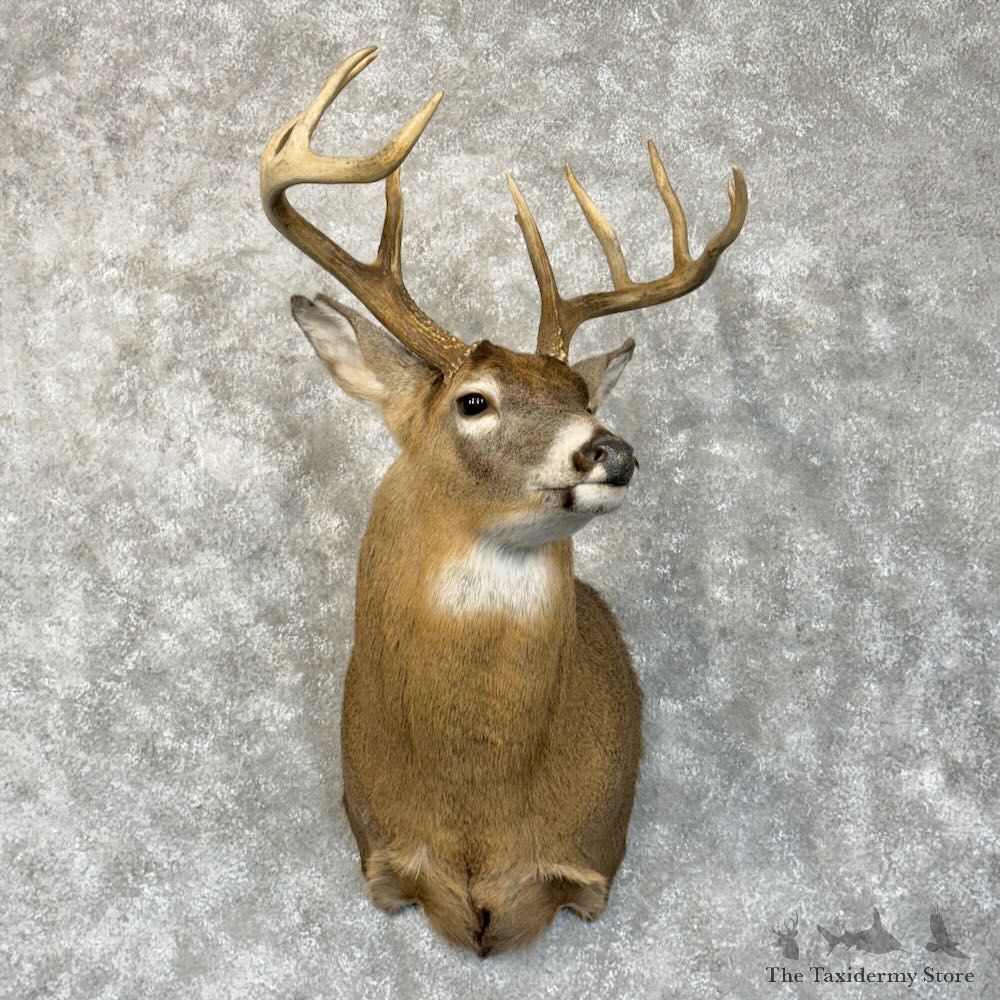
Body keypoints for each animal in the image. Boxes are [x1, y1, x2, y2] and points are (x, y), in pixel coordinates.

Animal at [259, 47, 747, 956]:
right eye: (473, 401)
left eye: (581, 394)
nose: (612, 450)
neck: (478, 814)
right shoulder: (382, 860)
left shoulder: (586, 871)